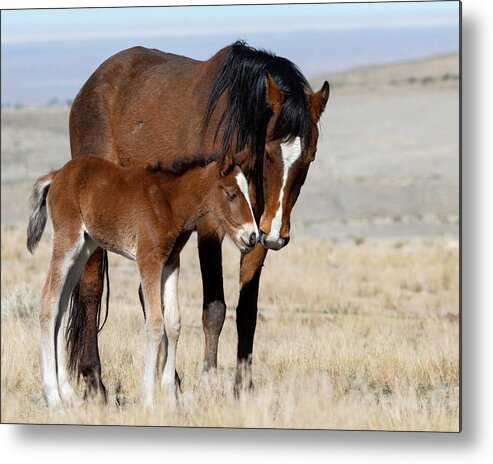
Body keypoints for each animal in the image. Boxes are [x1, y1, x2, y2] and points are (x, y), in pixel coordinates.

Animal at [27, 153, 258, 406]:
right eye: (231, 194)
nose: (253, 236)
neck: (169, 203)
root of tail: (57, 174)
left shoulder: (171, 262)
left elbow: (174, 322)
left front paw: (169, 394)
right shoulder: (148, 261)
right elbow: (156, 323)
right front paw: (148, 396)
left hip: (84, 248)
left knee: (61, 306)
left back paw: (69, 394)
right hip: (67, 241)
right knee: (48, 302)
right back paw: (53, 396)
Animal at [67, 40, 328, 398]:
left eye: (309, 158)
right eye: (270, 152)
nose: (278, 235)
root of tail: (90, 86)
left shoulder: (257, 233)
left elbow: (247, 310)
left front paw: (243, 387)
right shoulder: (209, 229)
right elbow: (214, 307)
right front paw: (208, 380)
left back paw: (171, 380)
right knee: (91, 290)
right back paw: (95, 382)